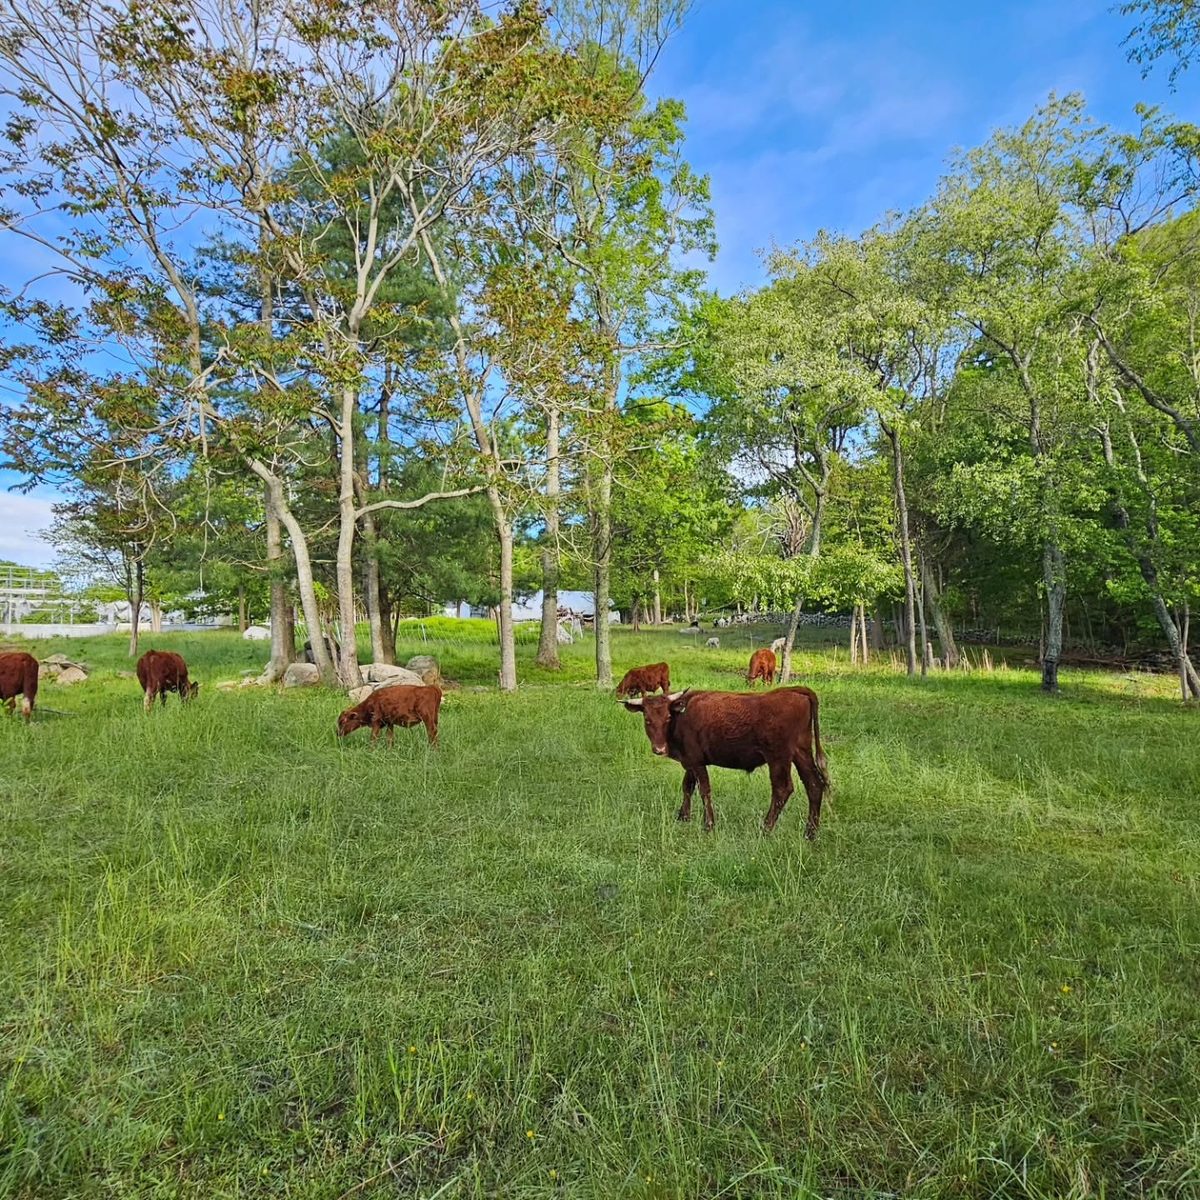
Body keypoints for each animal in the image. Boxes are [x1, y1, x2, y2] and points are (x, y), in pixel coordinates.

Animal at [622, 687, 828, 838]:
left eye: (667, 718)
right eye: (647, 719)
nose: (659, 749)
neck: (681, 715)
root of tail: (795, 691)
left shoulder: (697, 762)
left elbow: (704, 790)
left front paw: (708, 825)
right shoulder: (690, 761)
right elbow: (687, 787)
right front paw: (683, 817)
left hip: (778, 758)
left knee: (782, 789)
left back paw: (765, 829)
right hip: (801, 753)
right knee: (814, 785)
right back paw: (810, 833)